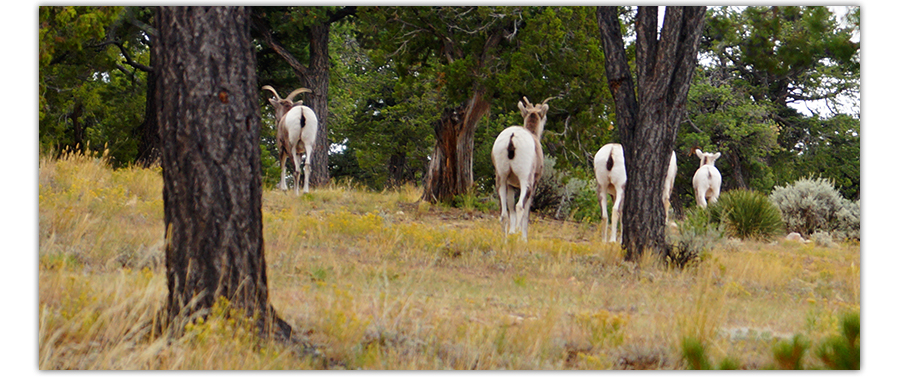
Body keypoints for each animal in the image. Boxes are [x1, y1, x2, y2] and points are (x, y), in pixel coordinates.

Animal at [488, 97, 552, 240]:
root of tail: (512, 137)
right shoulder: (534, 184)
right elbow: (526, 212)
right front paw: (524, 239)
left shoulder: (510, 185)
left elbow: (510, 208)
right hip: (524, 180)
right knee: (520, 207)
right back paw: (516, 233)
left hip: (501, 179)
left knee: (504, 215)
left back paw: (505, 240)